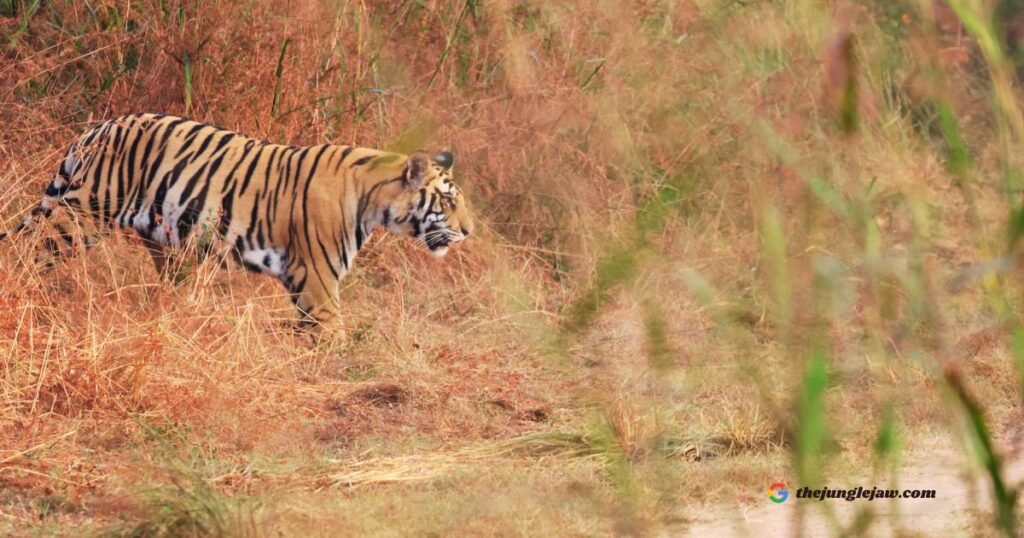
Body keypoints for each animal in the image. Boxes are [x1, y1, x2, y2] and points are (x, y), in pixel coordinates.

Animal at [0, 113, 474, 332]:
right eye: (448, 200)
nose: (468, 232)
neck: (375, 201)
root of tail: (101, 126)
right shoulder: (317, 281)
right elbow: (332, 339)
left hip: (162, 235)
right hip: (81, 217)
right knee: (32, 254)